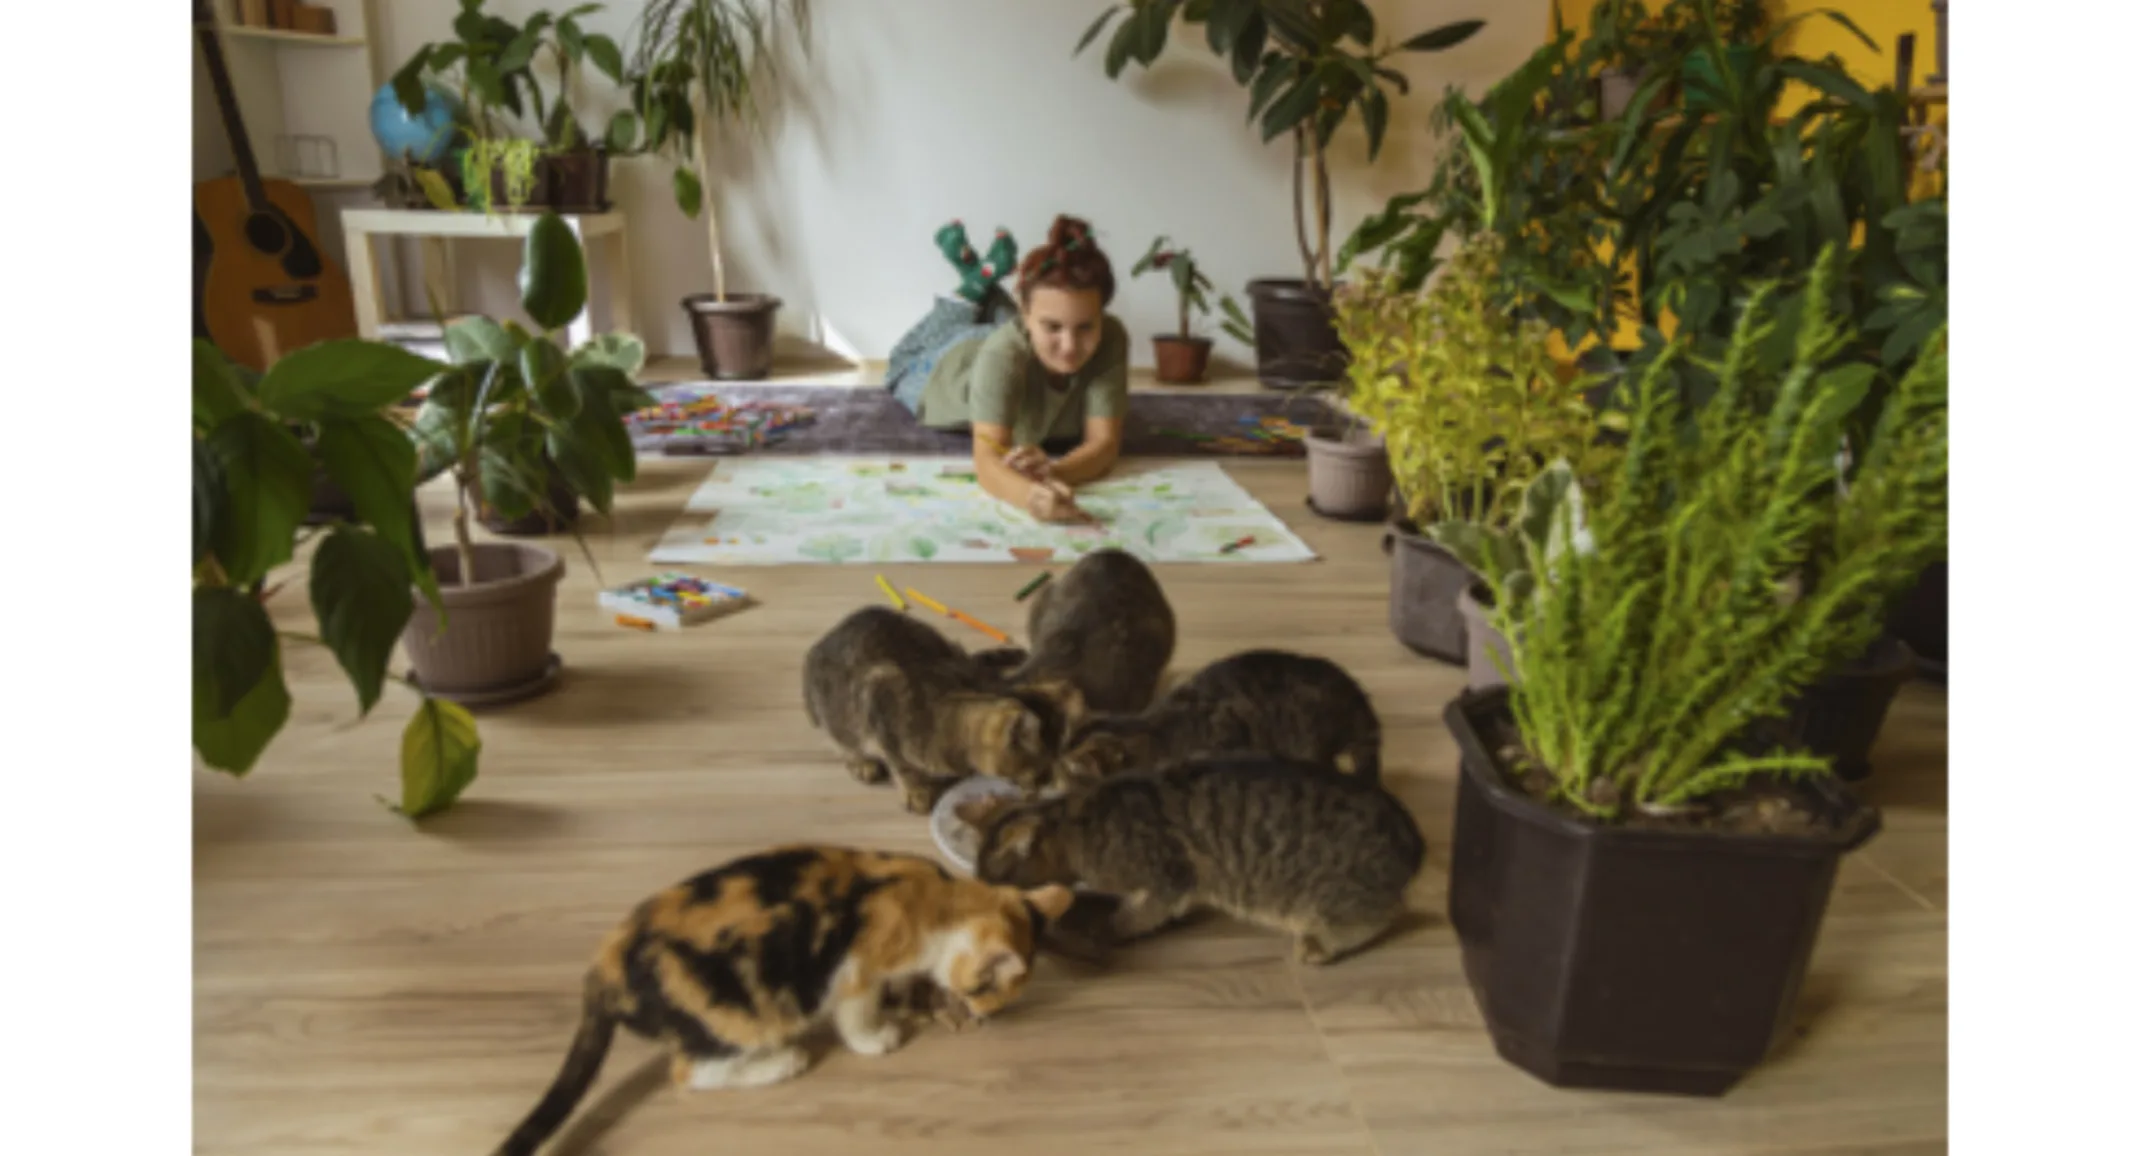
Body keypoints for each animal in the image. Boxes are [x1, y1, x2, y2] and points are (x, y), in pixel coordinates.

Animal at [492, 839, 1078, 1156]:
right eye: (989, 995)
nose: (980, 1014)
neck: (941, 898)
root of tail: (602, 972)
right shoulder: (857, 965)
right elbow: (856, 1012)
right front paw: (878, 1038)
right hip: (743, 1015)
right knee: (688, 1072)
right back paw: (783, 1063)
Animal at [804, 607, 1070, 809]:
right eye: (1042, 771)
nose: (1050, 786)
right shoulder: (878, 701)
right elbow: (902, 766)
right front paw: (916, 791)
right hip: (826, 714)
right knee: (842, 742)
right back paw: (862, 763)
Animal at [954, 753, 1420, 963]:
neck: (1078, 821)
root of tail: (1413, 839)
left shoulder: (1167, 877)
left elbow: (1132, 916)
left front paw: (1105, 930)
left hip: (1327, 895)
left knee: (1381, 915)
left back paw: (1320, 944)